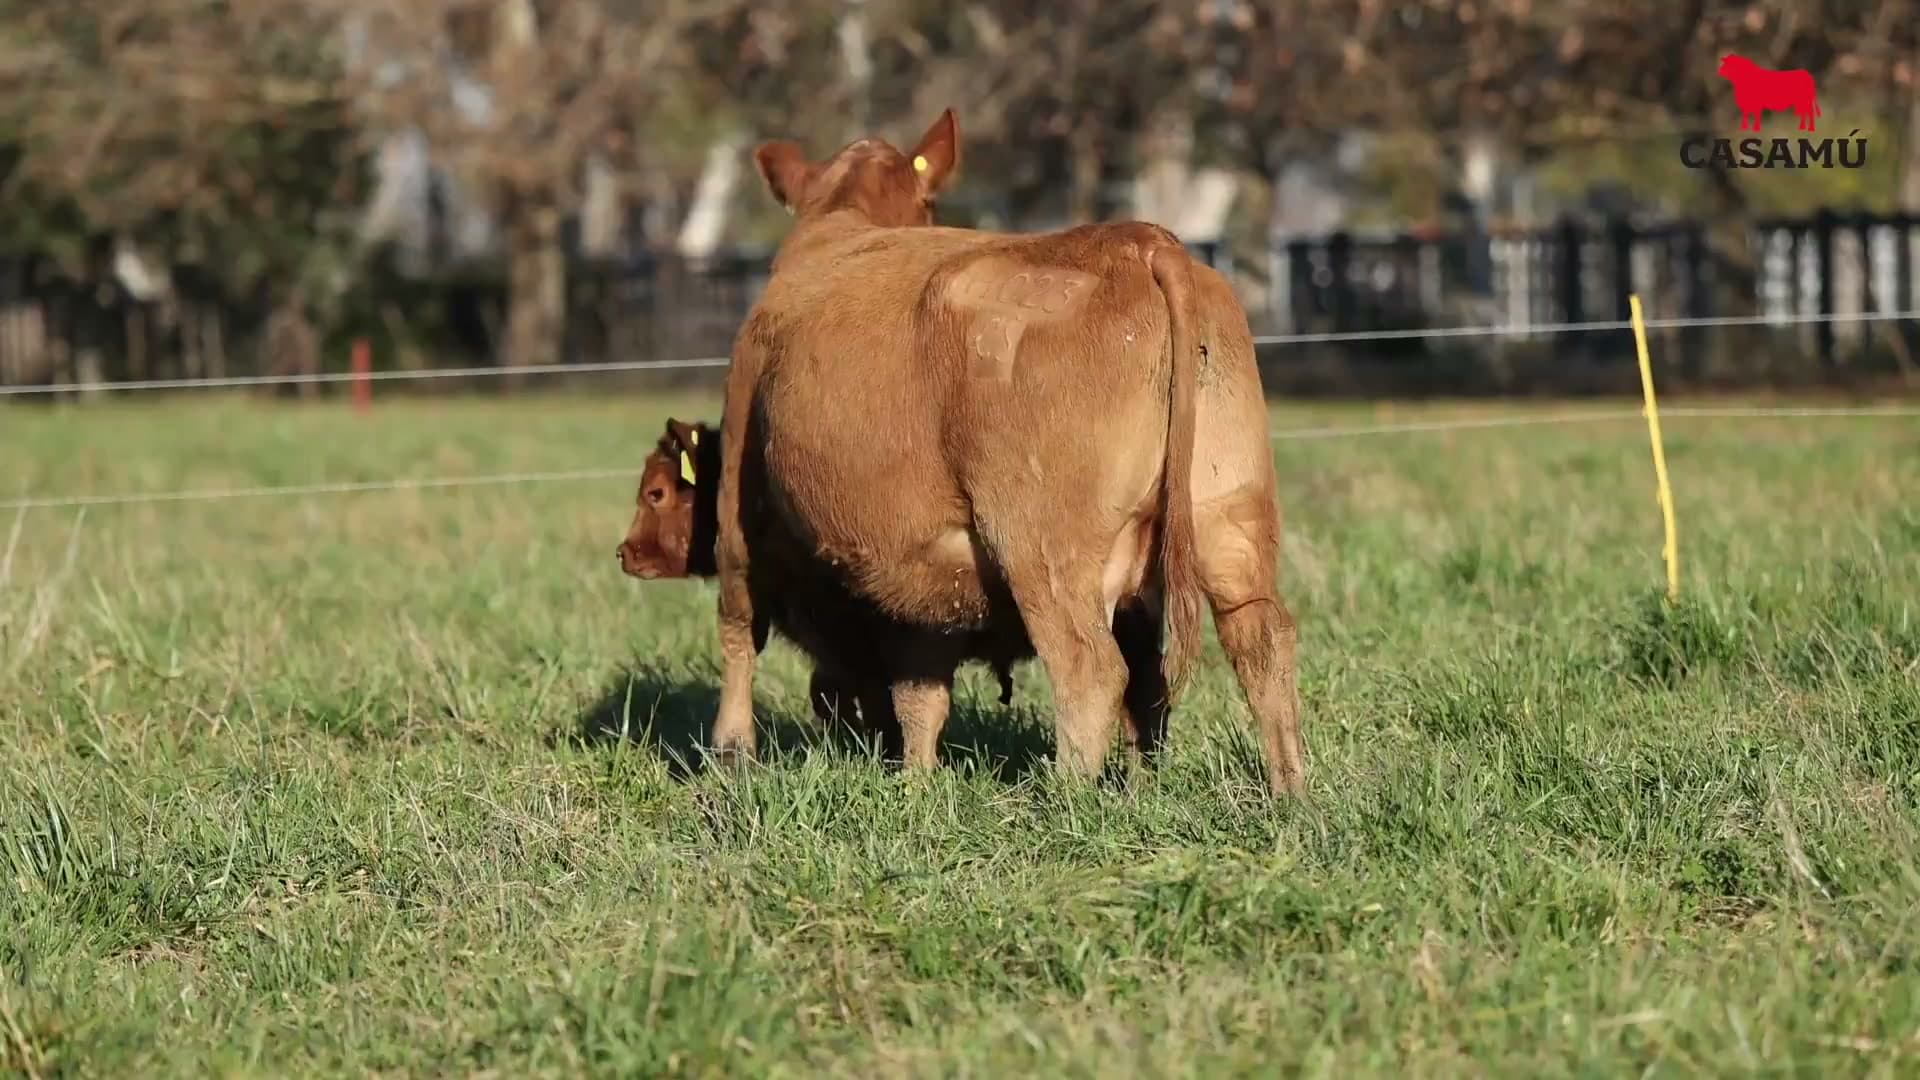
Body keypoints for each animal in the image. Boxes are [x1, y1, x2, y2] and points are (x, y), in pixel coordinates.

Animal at [707, 107, 1306, 796]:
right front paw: (916, 785)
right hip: (1227, 514)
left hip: (1042, 544)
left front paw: (732, 752)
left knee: (1089, 669)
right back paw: (1283, 794)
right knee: (1257, 638)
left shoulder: (738, 495)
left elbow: (738, 620)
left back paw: (1067, 799)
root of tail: (1138, 241)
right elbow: (921, 688)